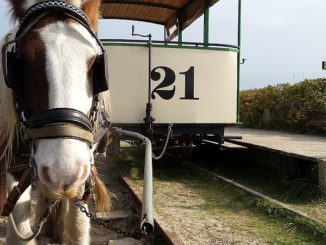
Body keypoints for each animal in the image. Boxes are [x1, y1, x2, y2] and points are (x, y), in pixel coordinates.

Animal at [0, 0, 111, 244]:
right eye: (20, 61)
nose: (63, 173)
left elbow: (78, 228)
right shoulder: (13, 166)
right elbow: (19, 223)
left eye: (94, 62)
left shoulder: (83, 169)